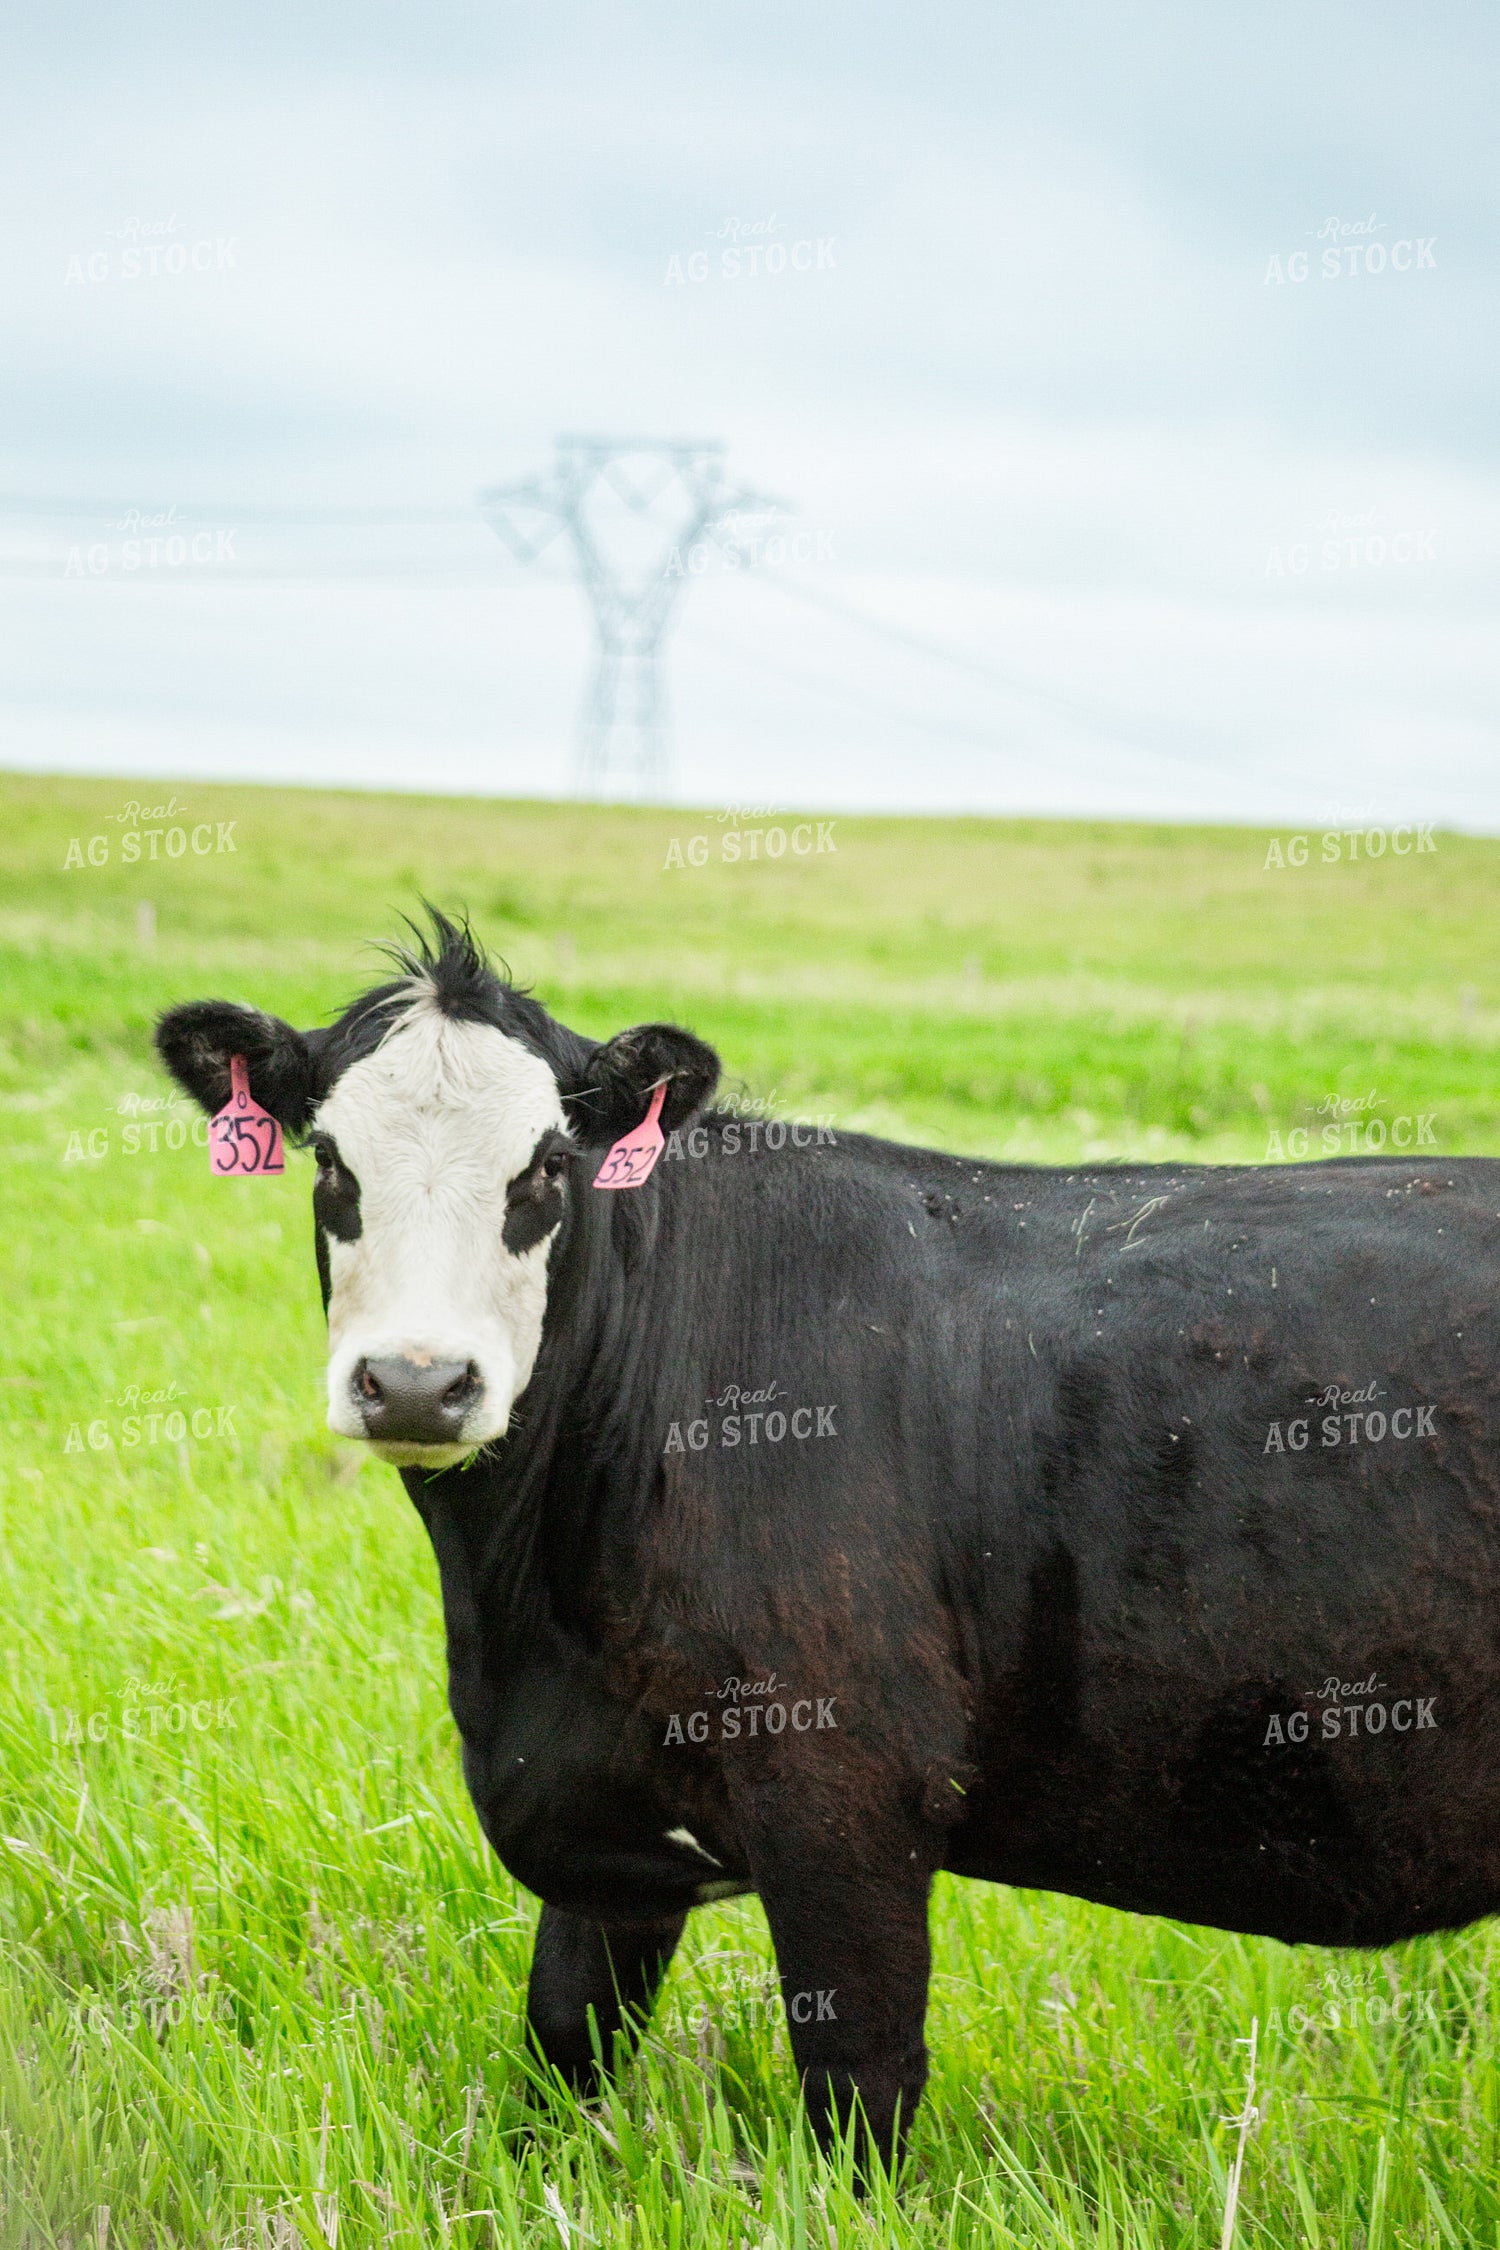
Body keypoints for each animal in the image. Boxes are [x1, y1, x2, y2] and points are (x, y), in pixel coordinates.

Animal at [156, 908, 1500, 2168]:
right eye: (332, 1161)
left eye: (545, 1168)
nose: (419, 1383)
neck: (526, 1621)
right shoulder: (608, 1816)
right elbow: (561, 2049)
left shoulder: (845, 1793)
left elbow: (859, 2086)